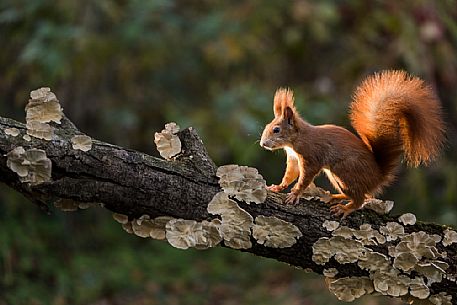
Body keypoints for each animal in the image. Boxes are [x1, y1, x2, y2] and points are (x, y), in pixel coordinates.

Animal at [262, 69, 444, 216]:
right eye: (266, 126)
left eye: (276, 129)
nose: (263, 144)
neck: (297, 139)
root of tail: (378, 177)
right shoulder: (293, 157)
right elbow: (290, 174)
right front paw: (279, 186)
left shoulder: (311, 157)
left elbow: (305, 178)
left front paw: (295, 194)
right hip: (335, 175)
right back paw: (335, 196)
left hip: (344, 170)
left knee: (360, 199)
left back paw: (346, 208)